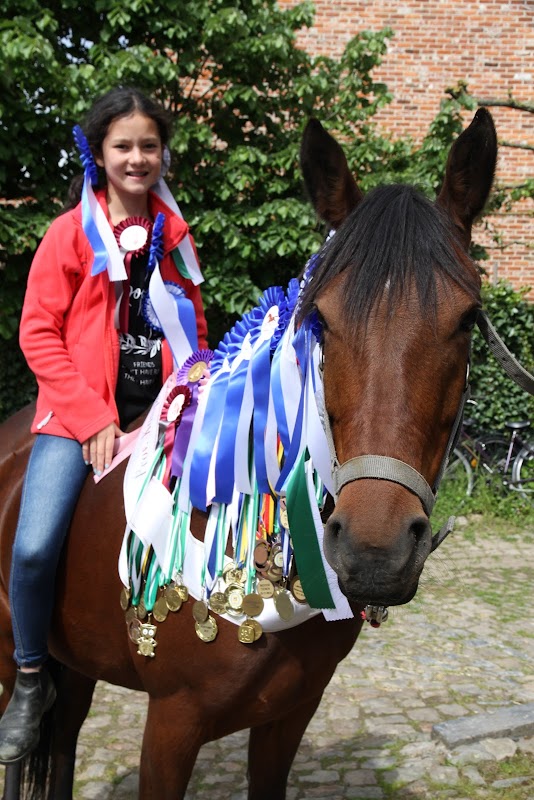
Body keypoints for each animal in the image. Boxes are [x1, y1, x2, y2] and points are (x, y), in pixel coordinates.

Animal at [0, 107, 497, 800]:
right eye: (321, 320)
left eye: (468, 319)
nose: (375, 551)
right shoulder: (172, 723)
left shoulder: (289, 717)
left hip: (75, 664)